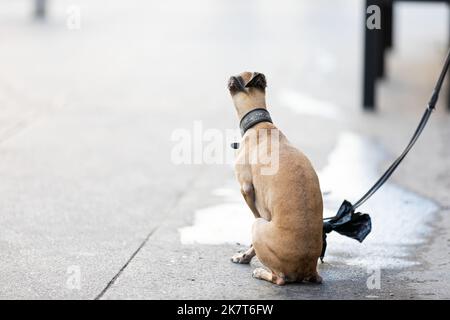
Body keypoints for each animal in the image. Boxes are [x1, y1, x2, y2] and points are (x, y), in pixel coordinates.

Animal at [229, 70, 324, 284]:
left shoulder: (246, 189)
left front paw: (245, 256)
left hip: (258, 226)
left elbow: (254, 210)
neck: (260, 125)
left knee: (278, 278)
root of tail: (306, 269)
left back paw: (260, 272)